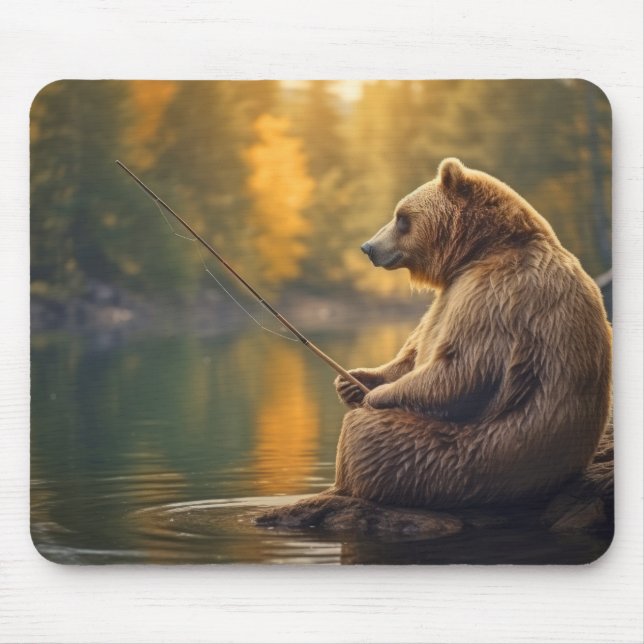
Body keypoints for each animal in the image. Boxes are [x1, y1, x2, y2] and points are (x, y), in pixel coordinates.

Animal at [327, 157, 612, 509]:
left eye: (401, 218)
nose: (368, 247)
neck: (479, 250)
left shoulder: (495, 294)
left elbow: (461, 370)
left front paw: (375, 395)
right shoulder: (451, 293)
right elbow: (415, 351)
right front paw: (354, 380)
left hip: (472, 456)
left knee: (367, 436)